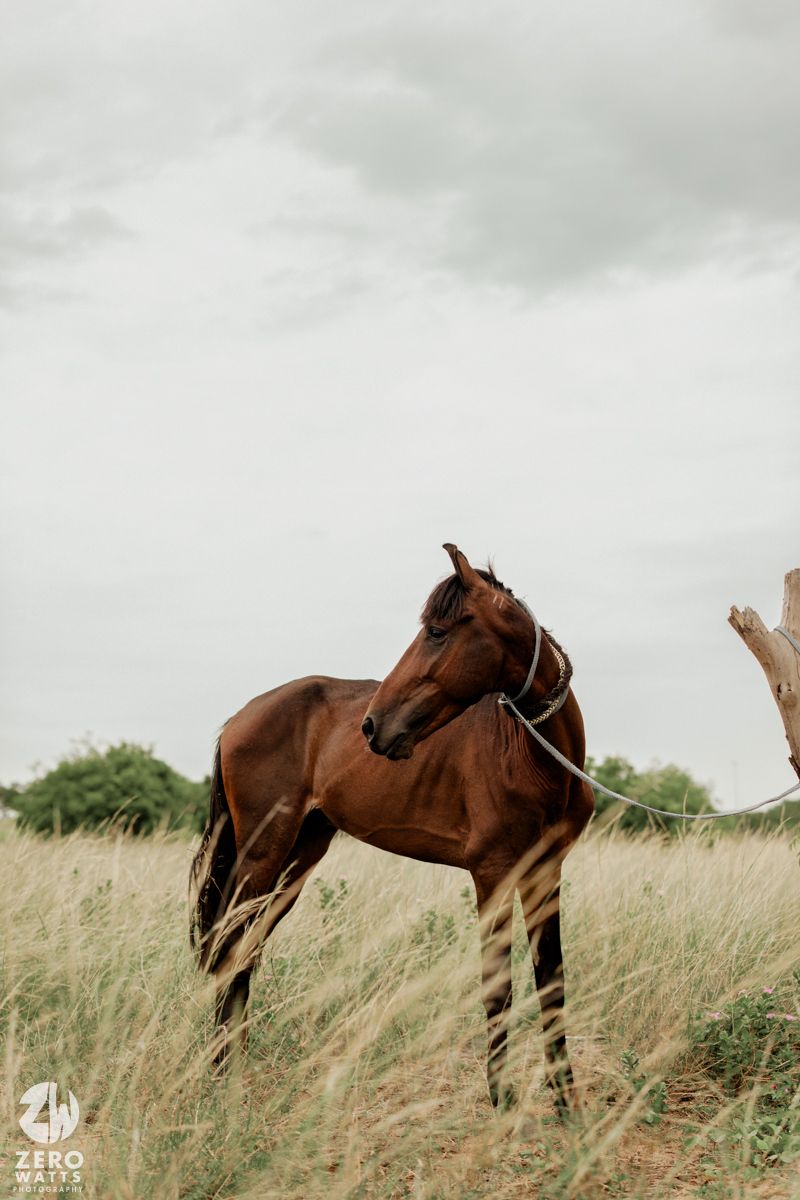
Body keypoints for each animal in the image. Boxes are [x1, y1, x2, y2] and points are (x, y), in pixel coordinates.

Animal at [190, 543, 594, 1112]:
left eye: (438, 632)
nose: (372, 726)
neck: (535, 758)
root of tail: (238, 719)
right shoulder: (493, 874)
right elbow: (499, 986)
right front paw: (502, 1103)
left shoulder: (546, 872)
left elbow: (550, 979)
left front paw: (566, 1104)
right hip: (262, 853)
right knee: (229, 946)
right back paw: (222, 1076)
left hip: (300, 855)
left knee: (247, 949)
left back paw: (232, 1067)